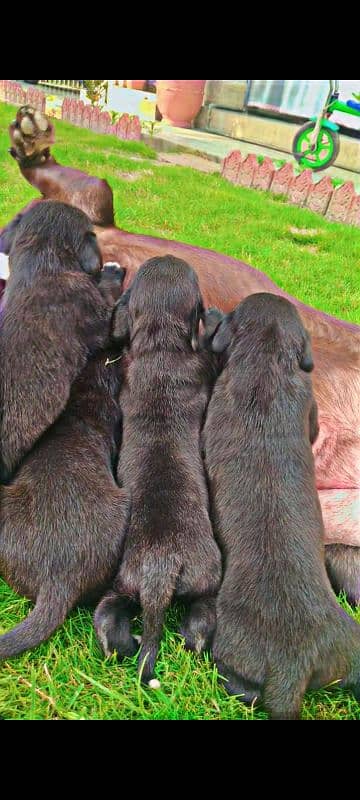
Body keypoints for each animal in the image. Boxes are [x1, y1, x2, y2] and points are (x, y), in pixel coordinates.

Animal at [94, 255, 221, 680]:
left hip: (121, 585)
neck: (162, 345)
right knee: (201, 621)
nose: (169, 257)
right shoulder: (206, 364)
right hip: (206, 578)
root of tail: (158, 570)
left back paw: (126, 643)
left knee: (108, 620)